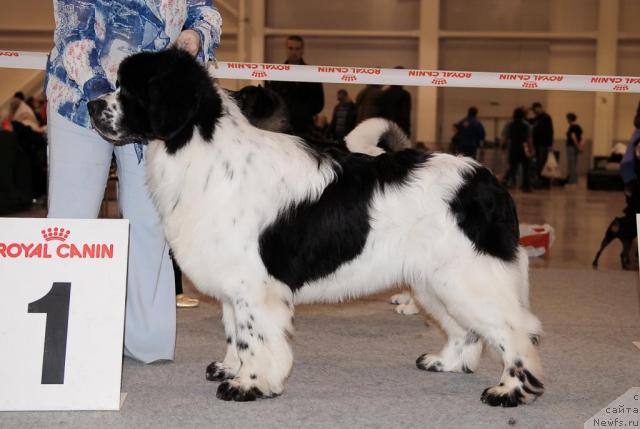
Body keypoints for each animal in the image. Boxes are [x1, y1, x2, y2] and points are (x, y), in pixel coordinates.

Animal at [86, 49, 544, 404]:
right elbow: (235, 330)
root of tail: (486, 180)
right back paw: (446, 363)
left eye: (131, 90)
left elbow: (255, 335)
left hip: (468, 275)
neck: (201, 148)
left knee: (516, 330)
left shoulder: (256, 285)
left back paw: (510, 390)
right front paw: (231, 368)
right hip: (435, 280)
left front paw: (250, 384)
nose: (90, 105)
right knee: (467, 330)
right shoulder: (235, 280)